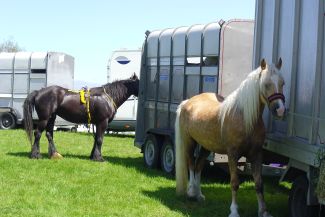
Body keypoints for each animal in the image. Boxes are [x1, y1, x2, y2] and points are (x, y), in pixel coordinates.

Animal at [175, 58, 284, 216]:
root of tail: (187, 102)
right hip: (190, 142)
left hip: (206, 146)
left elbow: (259, 184)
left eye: (282, 83)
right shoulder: (232, 155)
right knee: (191, 164)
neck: (245, 117)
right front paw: (234, 211)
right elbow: (234, 183)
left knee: (199, 166)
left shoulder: (256, 154)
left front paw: (263, 211)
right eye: (266, 84)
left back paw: (198, 195)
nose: (280, 110)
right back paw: (190, 193)